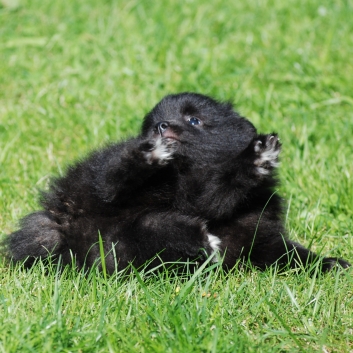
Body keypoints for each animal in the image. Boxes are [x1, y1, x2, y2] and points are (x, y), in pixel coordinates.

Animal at [3, 92, 350, 270]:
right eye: (155, 123)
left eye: (194, 120)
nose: (162, 128)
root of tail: (64, 224)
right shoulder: (192, 195)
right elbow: (221, 187)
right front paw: (256, 156)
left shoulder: (258, 234)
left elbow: (292, 255)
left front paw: (330, 264)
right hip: (106, 204)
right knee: (114, 182)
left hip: (127, 241)